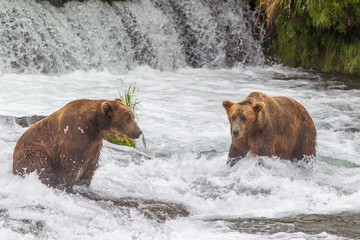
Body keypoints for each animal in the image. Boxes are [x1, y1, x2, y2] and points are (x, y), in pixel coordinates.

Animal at [11, 98, 141, 192]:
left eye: (133, 116)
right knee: (39, 163)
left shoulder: (94, 144)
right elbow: (71, 163)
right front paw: (68, 187)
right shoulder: (74, 135)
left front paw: (85, 184)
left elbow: (90, 165)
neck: (95, 126)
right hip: (33, 150)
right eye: (129, 117)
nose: (139, 132)